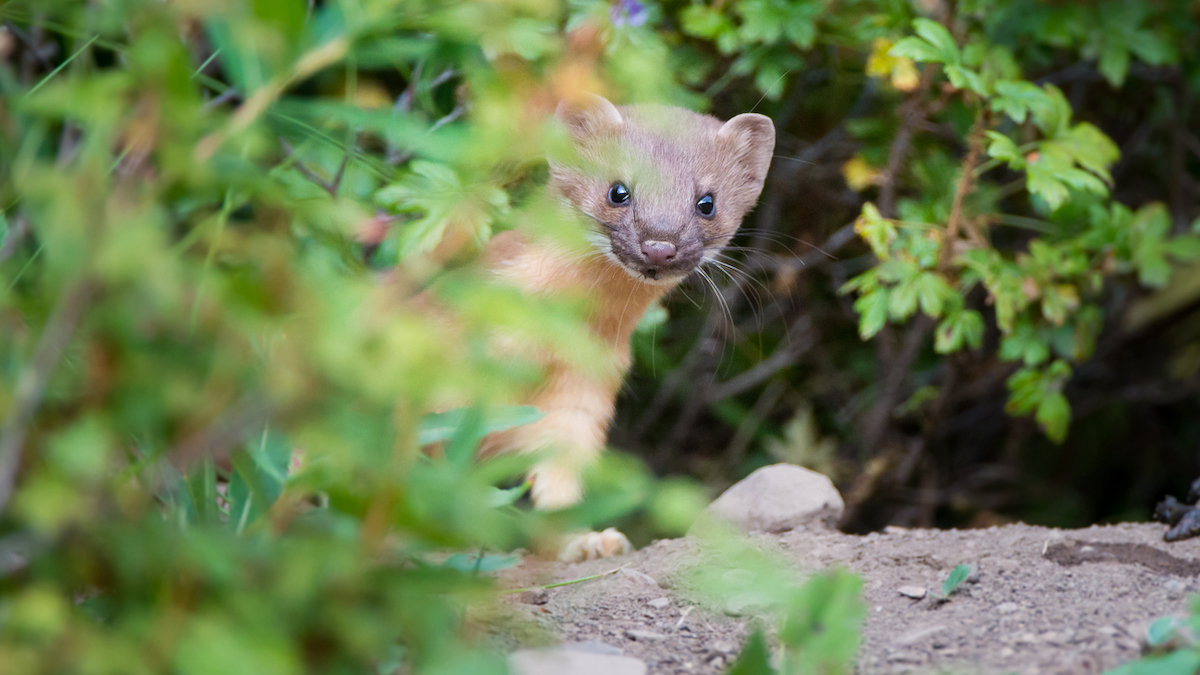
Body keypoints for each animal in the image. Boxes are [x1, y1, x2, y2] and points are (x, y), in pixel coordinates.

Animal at [472, 93, 772, 557]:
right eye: (618, 191)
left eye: (707, 202)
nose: (660, 246)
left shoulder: (582, 392)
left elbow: (559, 470)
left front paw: (585, 540)